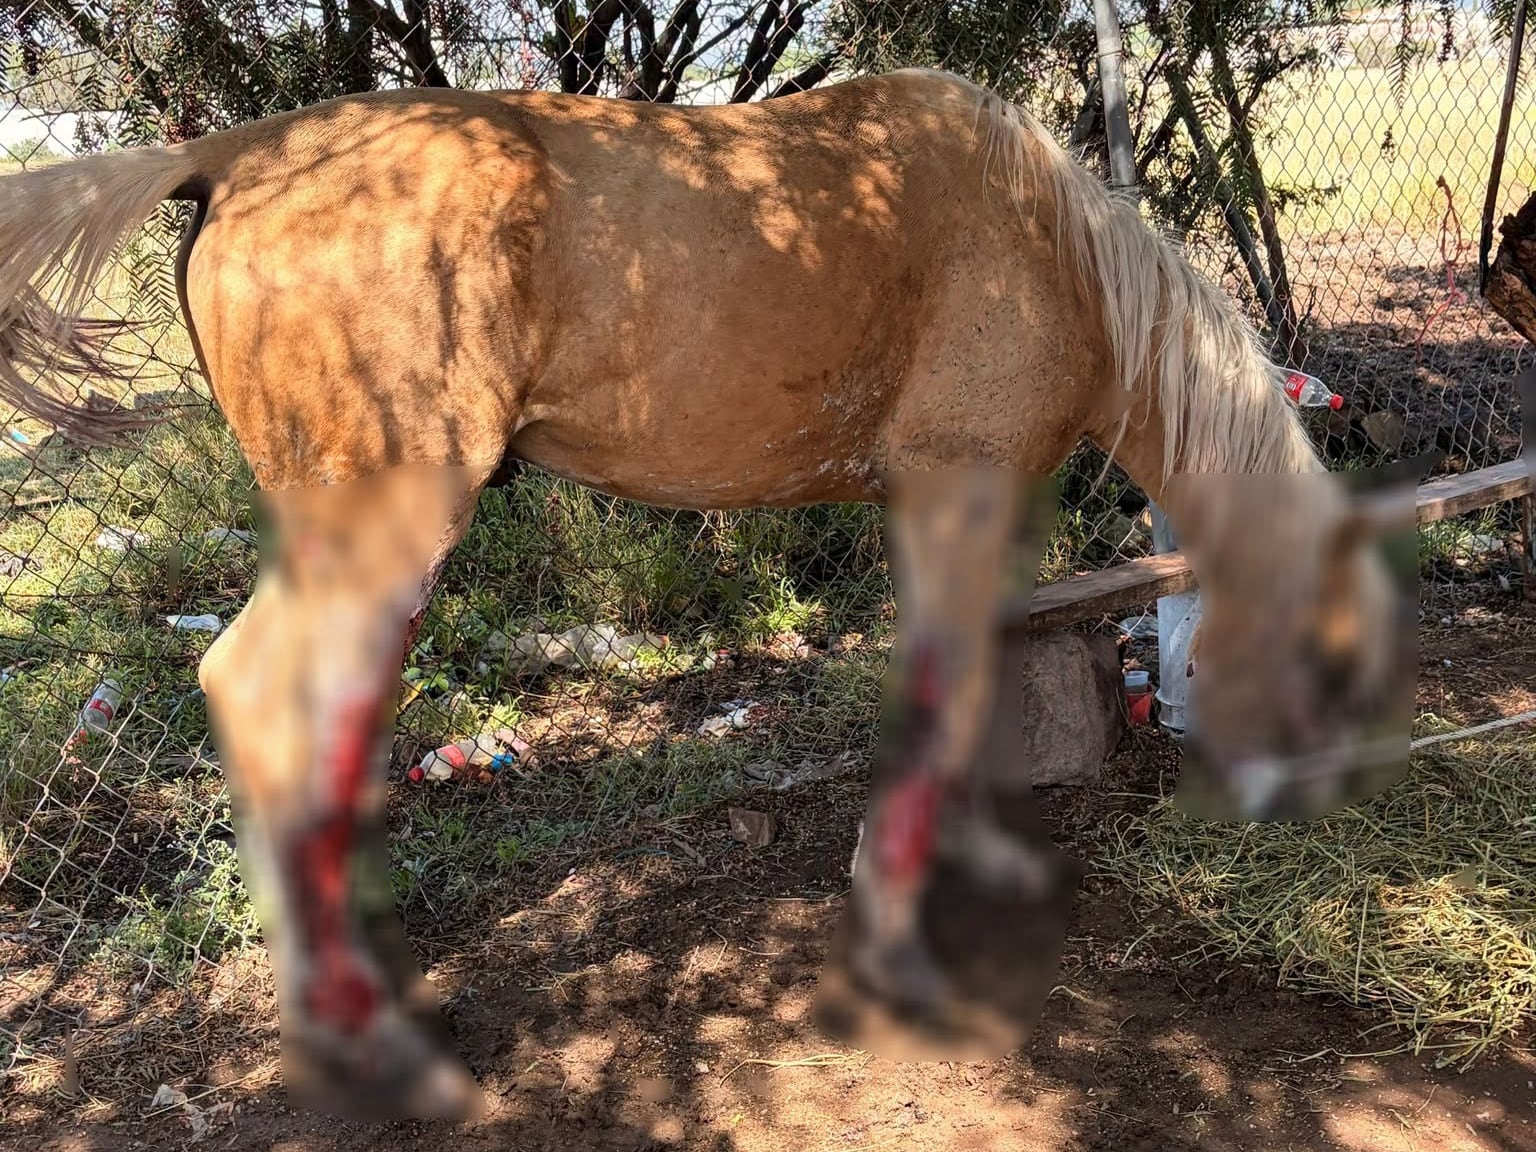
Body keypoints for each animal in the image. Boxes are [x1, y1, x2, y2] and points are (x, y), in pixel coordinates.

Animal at [0, 68, 1409, 1121]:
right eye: (1330, 662)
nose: (1308, 805)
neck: (1048, 240)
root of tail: (235, 155)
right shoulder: (952, 488)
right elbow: (939, 689)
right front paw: (893, 944)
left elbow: (961, 684)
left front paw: (977, 854)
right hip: (381, 528)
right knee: (260, 694)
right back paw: (376, 1042)